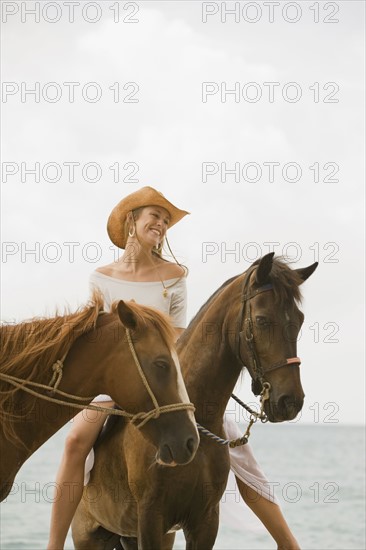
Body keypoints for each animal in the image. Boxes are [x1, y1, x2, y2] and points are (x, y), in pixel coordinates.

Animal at [71, 256, 318, 550]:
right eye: (262, 320)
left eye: (300, 320)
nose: (291, 401)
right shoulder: (150, 518)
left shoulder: (205, 520)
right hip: (90, 536)